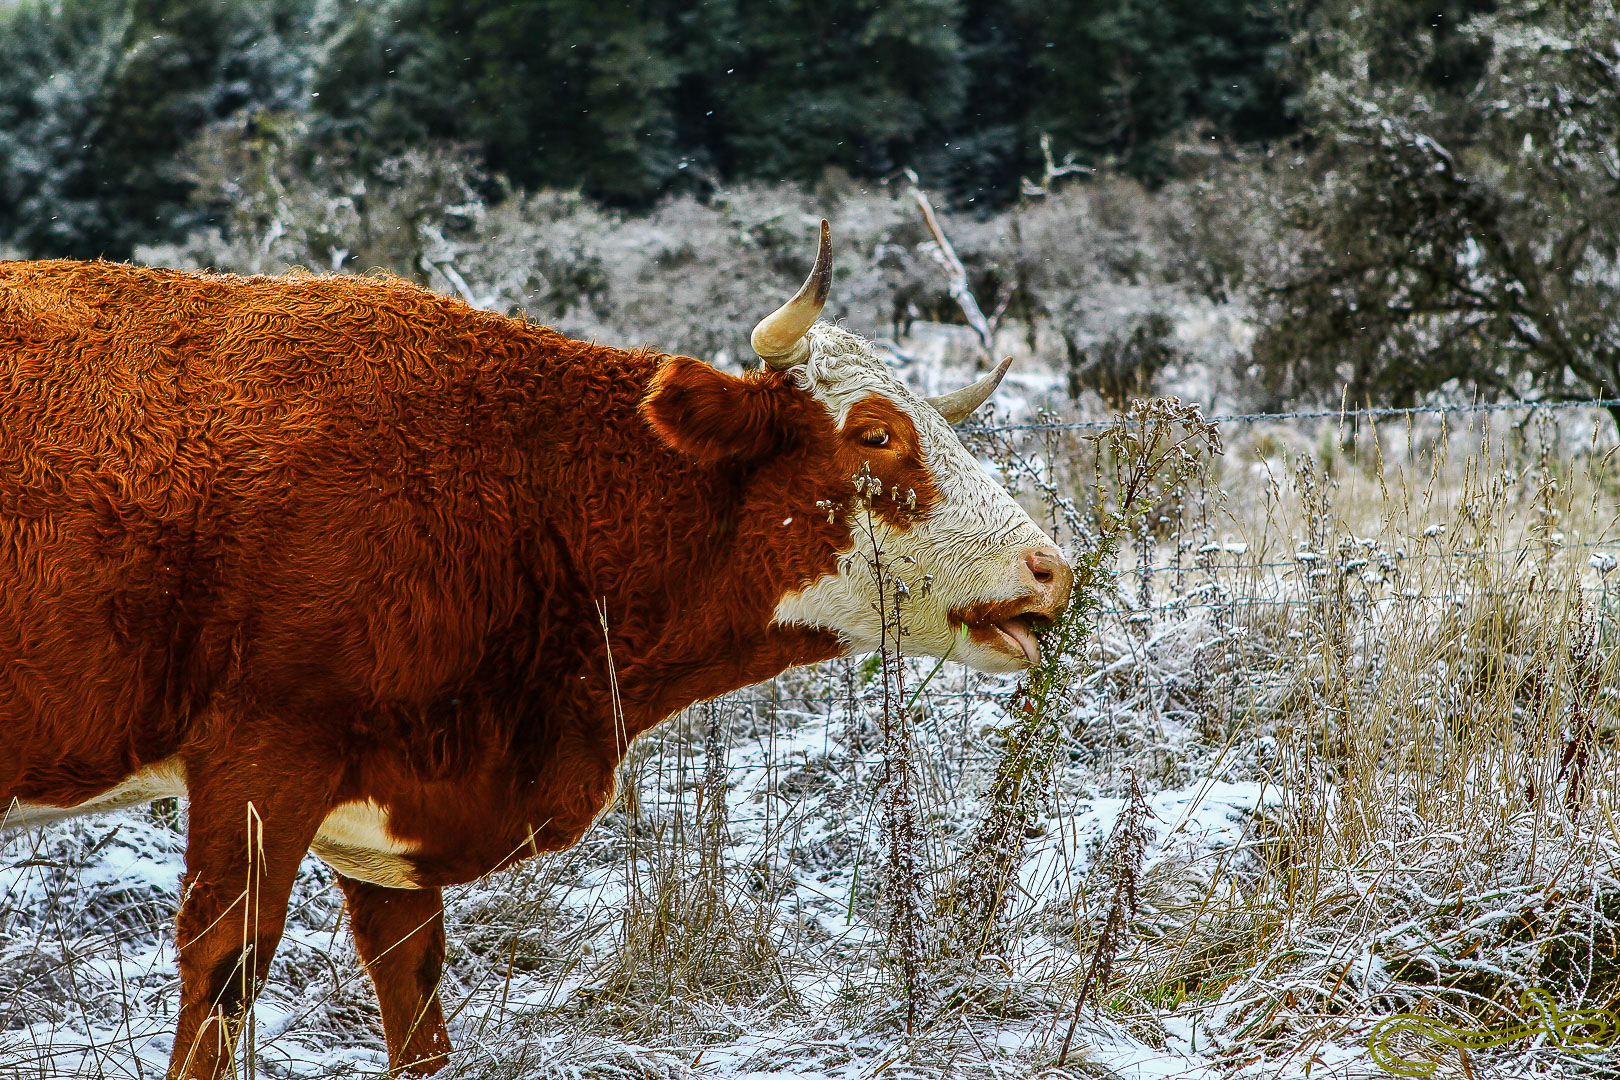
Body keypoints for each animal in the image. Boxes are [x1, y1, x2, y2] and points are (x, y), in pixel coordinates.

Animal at [0, 223, 1069, 1075]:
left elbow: (416, 1007)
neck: (513, 476)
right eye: (877, 435)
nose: (1053, 568)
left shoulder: (390, 820)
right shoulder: (262, 760)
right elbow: (225, 968)